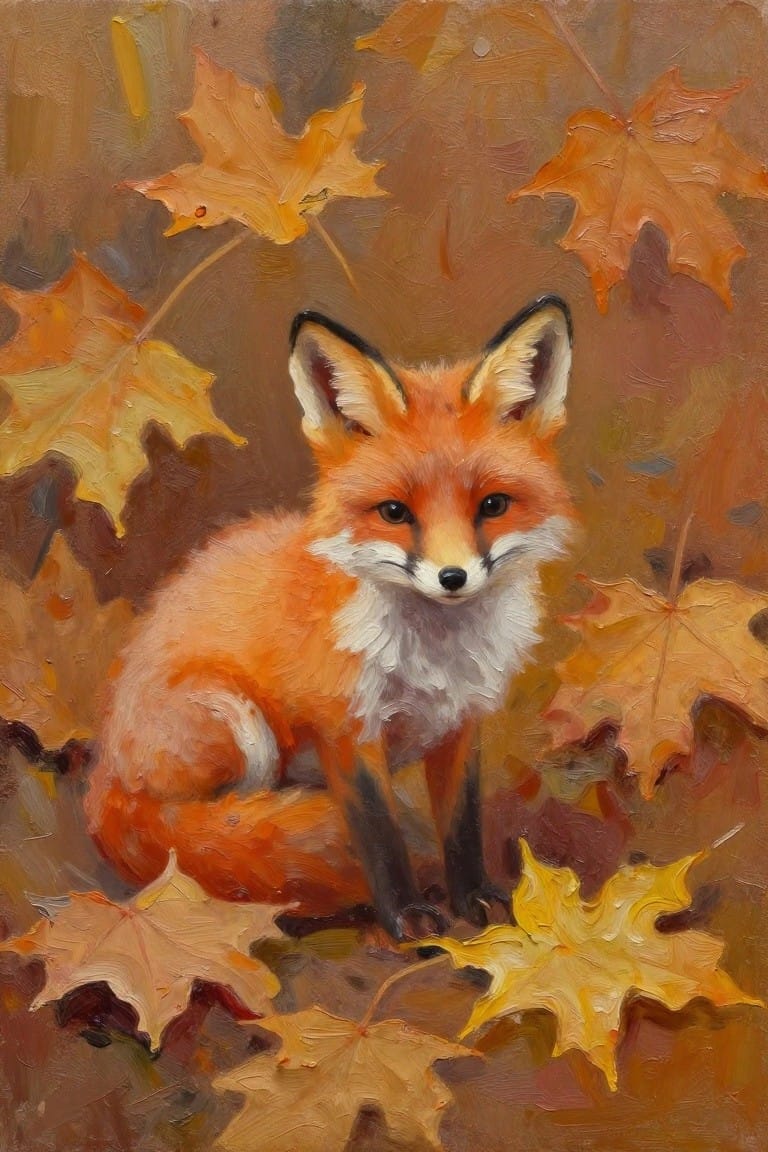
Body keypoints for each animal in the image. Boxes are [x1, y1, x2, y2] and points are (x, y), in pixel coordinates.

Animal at [85, 295, 574, 941]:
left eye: (492, 505)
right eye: (394, 513)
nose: (453, 578)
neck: (432, 659)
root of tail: (103, 778)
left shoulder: (459, 724)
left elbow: (461, 823)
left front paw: (475, 896)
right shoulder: (346, 725)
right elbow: (378, 832)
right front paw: (406, 917)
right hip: (239, 725)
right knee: (203, 832)